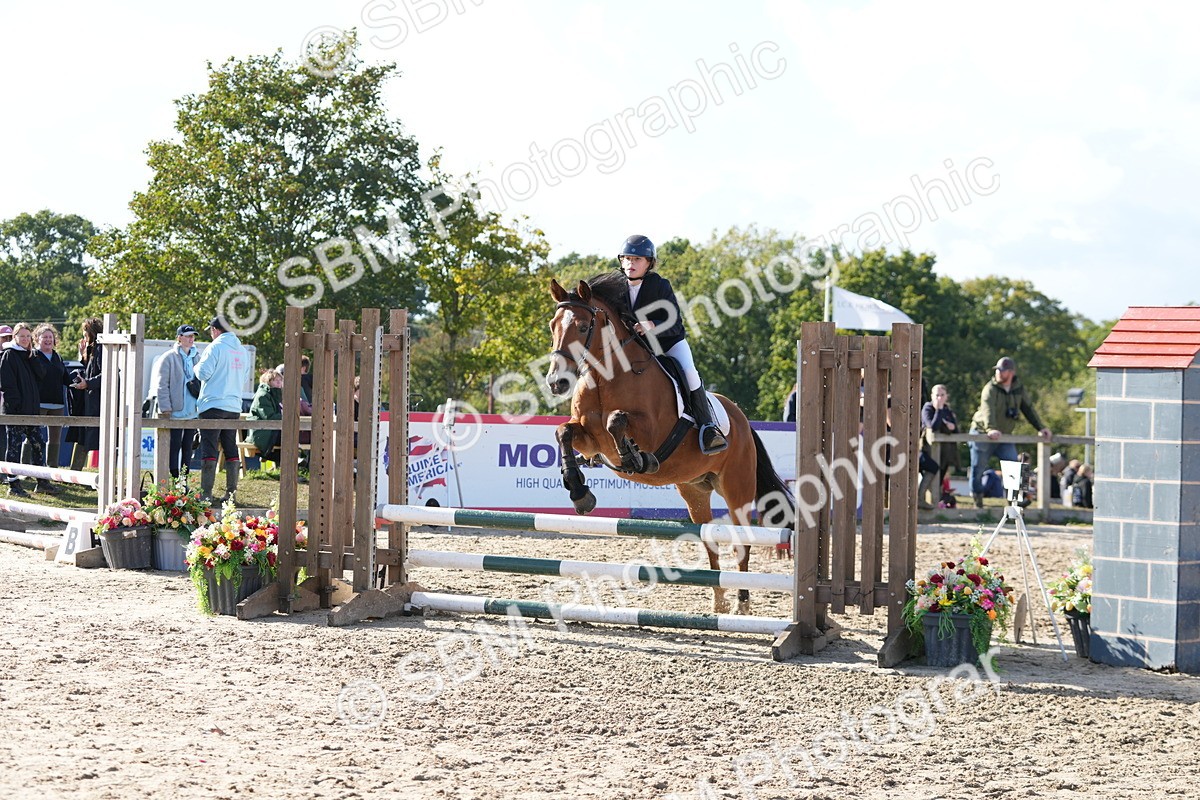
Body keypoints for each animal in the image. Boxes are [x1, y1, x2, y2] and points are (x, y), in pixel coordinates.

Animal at [546, 272, 795, 615]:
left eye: (583, 327)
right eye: (552, 325)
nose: (556, 382)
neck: (607, 378)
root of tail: (743, 421)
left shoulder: (651, 430)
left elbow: (617, 422)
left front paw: (635, 459)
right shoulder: (589, 439)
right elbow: (564, 433)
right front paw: (579, 491)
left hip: (737, 489)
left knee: (741, 542)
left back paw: (742, 602)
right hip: (695, 491)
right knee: (710, 539)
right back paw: (719, 601)